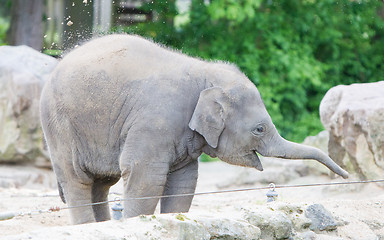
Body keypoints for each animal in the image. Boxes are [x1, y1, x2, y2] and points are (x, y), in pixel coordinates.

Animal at [39, 34, 348, 225]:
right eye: (259, 129)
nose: (346, 176)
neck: (205, 73)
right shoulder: (155, 121)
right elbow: (145, 175)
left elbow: (184, 181)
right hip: (60, 125)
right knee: (77, 179)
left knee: (100, 184)